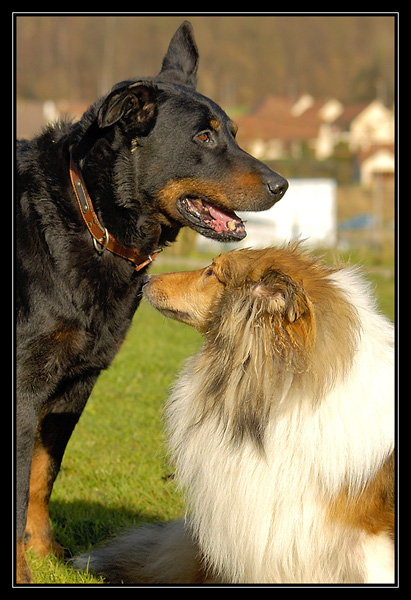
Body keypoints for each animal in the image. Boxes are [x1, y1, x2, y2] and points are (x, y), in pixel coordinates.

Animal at [15, 22, 286, 580]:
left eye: (233, 132)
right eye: (204, 136)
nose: (282, 185)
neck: (90, 218)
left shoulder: (76, 383)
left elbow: (41, 473)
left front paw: (46, 555)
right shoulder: (24, 382)